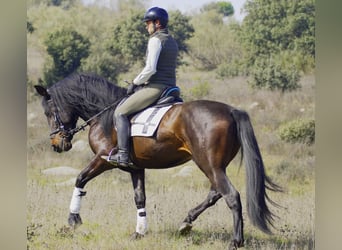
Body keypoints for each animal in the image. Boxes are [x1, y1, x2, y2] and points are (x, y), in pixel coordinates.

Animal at [33, 72, 282, 248]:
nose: (57, 145)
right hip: (214, 165)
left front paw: (73, 219)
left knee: (230, 195)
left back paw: (236, 241)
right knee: (215, 193)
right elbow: (140, 198)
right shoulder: (136, 167)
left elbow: (80, 179)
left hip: (208, 163)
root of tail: (230, 110)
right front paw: (139, 232)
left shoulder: (104, 159)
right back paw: (186, 223)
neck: (105, 115)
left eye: (49, 112)